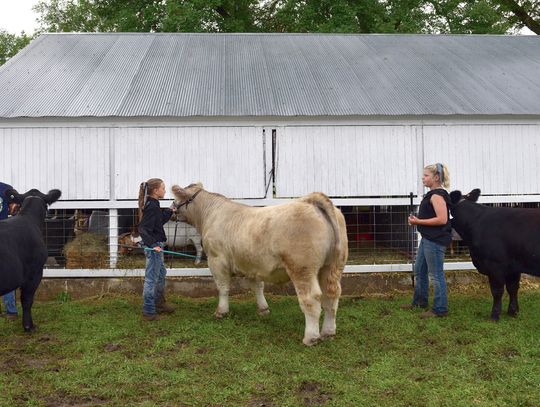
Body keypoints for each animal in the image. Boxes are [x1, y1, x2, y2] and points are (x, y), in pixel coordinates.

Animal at [450, 190, 540, 322]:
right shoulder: (513, 266)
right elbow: (513, 288)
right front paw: (513, 312)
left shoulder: (495, 265)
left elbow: (497, 291)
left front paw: (495, 315)